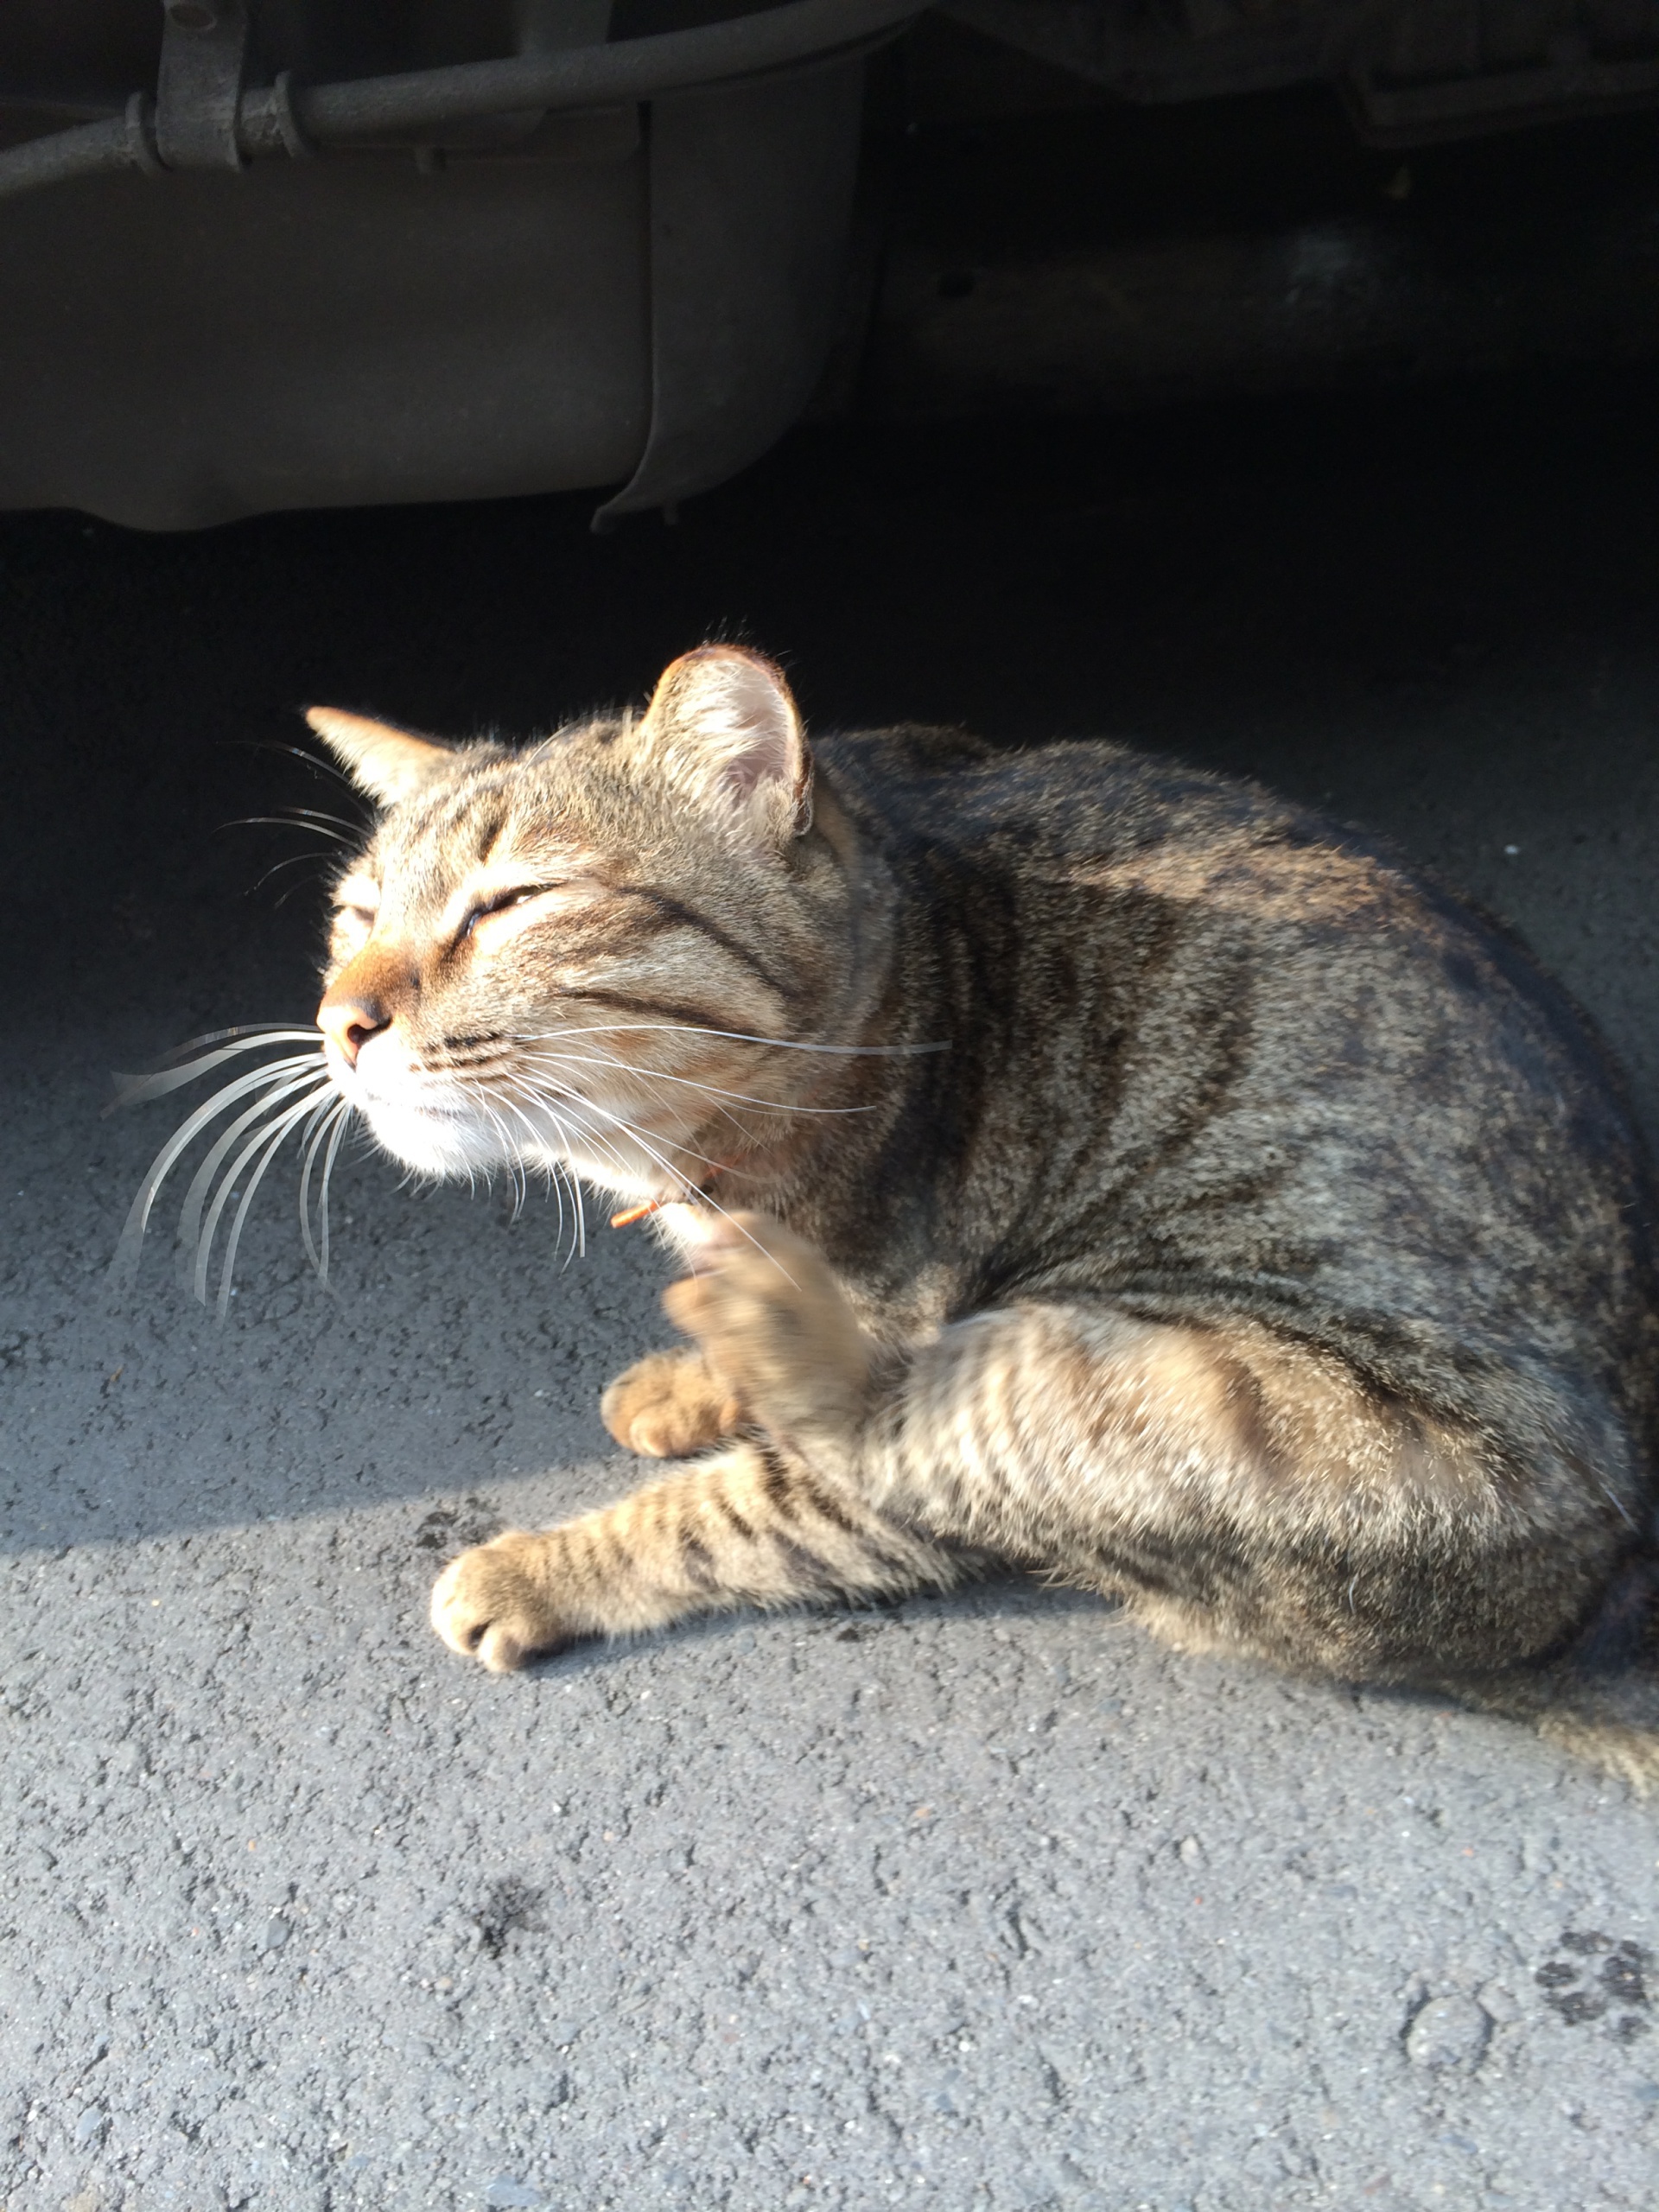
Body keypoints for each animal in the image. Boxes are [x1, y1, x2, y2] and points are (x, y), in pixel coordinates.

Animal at [190, 644, 1659, 1783]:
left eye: (513, 904)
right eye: (356, 914)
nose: (340, 1018)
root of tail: (1604, 1619)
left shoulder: (895, 1428)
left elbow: (745, 1508)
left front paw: (543, 1568)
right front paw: (694, 1377)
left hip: (1162, 1387)